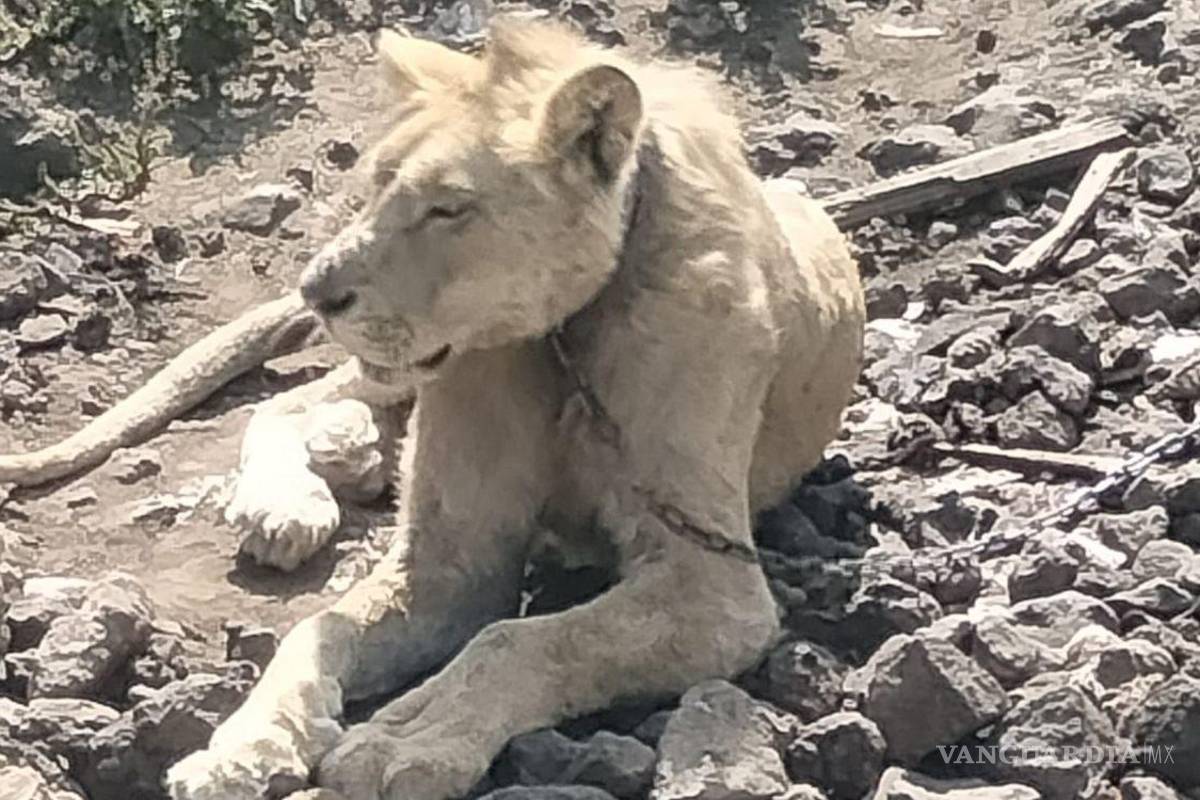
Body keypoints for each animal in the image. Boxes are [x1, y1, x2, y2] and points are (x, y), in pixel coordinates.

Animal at [1, 16, 865, 800]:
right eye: (374, 186)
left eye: (447, 209)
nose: (316, 290)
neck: (554, 338)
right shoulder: (449, 563)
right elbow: (318, 629)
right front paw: (244, 745)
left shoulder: (713, 585)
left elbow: (518, 640)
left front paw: (407, 741)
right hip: (388, 376)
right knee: (287, 401)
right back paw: (294, 500)